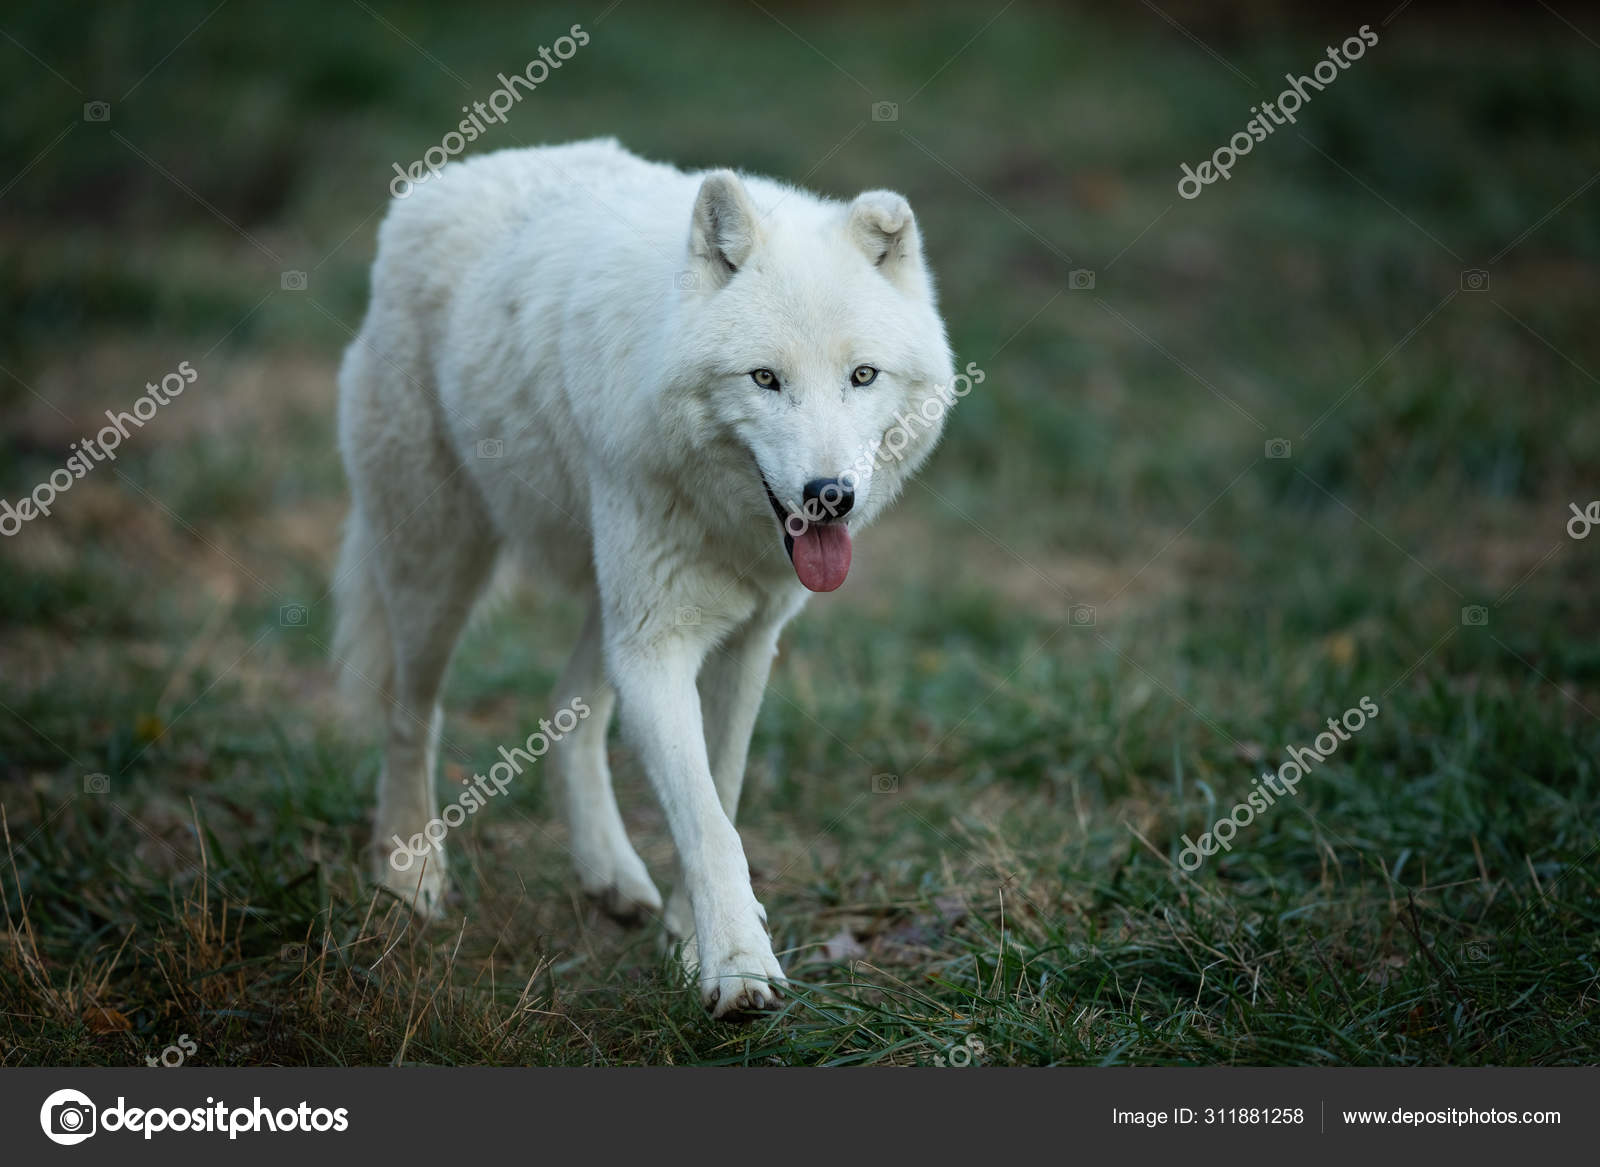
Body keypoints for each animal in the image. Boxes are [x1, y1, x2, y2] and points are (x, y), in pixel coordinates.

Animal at [333, 138, 954, 1017]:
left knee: (567, 710)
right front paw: (737, 967)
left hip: (608, 597)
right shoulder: (658, 647)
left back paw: (610, 875)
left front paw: (692, 939)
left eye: (862, 376)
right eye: (765, 379)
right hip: (439, 568)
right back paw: (410, 872)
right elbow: (708, 821)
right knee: (410, 714)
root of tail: (441, 179)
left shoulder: (747, 640)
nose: (828, 496)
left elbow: (720, 793)